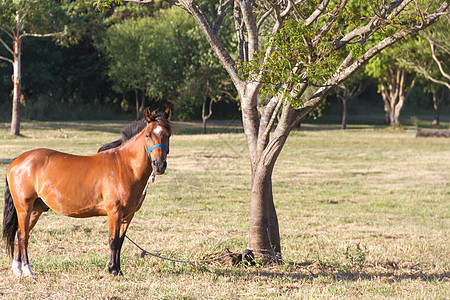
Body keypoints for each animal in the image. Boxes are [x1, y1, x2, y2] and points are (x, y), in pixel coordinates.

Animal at [2, 108, 171, 276]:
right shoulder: (114, 212)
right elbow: (113, 240)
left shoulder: (128, 215)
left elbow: (120, 242)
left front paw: (118, 270)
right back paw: (27, 270)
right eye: (148, 135)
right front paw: (113, 269)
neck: (124, 166)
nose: (159, 165)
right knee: (23, 236)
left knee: (18, 234)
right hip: (24, 208)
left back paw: (17, 269)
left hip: (36, 209)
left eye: (168, 134)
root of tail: (17, 161)